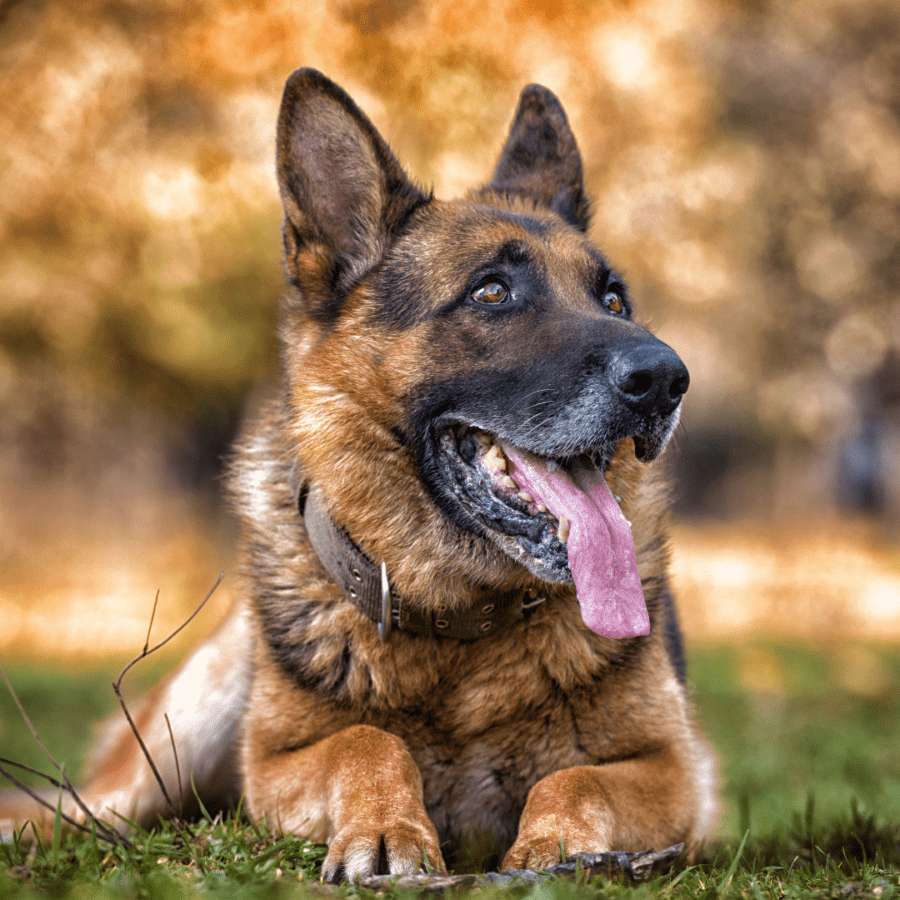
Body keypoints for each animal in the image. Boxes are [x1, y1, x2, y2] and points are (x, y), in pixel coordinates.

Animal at [0, 68, 716, 880]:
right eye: (491, 292)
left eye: (615, 300)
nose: (666, 379)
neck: (460, 630)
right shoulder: (275, 762)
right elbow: (363, 739)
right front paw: (385, 827)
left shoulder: (677, 772)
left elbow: (576, 778)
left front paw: (555, 847)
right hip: (182, 727)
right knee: (89, 807)